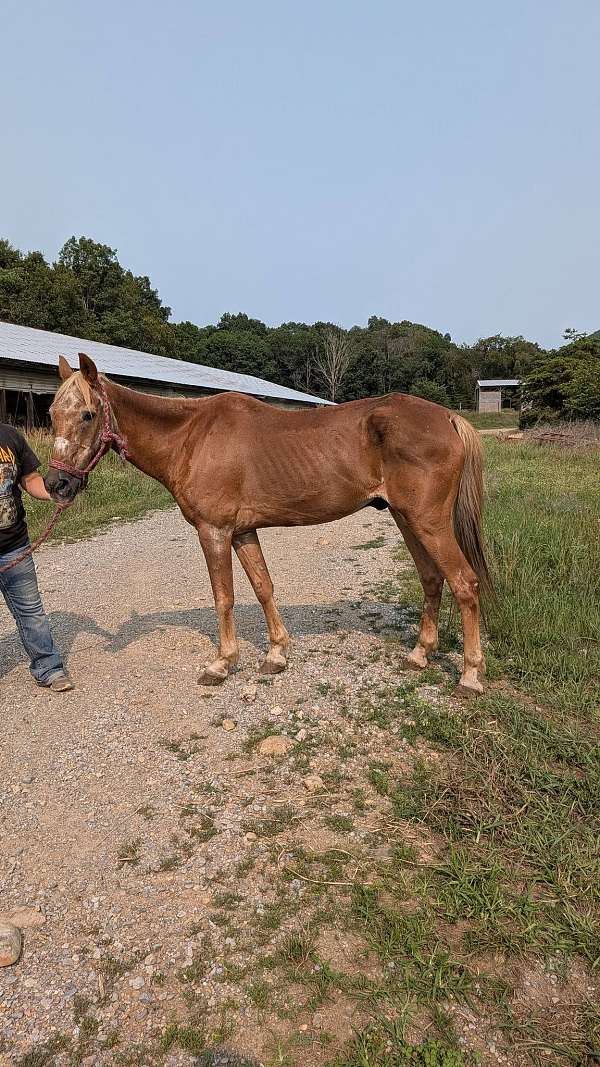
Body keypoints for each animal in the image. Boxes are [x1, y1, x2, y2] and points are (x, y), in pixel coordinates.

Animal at [45, 353, 492, 696]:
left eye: (87, 414)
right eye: (51, 414)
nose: (55, 484)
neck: (191, 437)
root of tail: (448, 418)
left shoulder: (214, 531)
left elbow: (223, 597)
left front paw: (222, 664)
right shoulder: (242, 531)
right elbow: (263, 586)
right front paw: (276, 654)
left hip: (428, 522)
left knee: (465, 583)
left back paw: (469, 676)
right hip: (406, 518)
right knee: (432, 579)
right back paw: (420, 654)